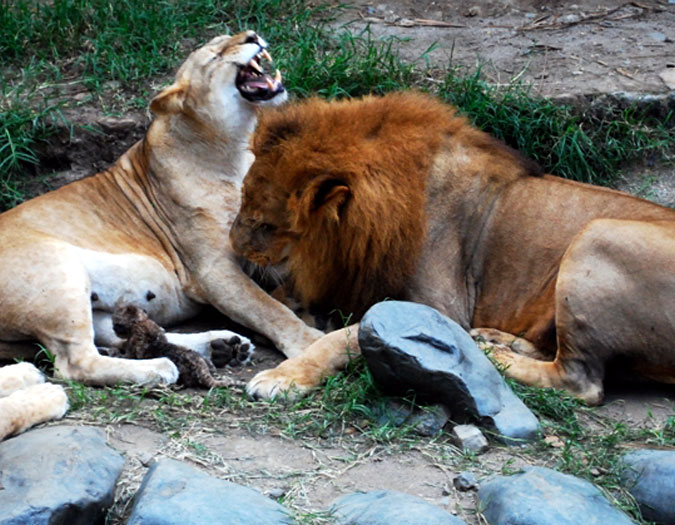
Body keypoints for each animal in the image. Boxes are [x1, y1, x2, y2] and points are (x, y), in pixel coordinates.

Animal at [0, 31, 322, 434]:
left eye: (233, 34)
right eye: (217, 52)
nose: (252, 36)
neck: (233, 149)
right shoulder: (213, 271)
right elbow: (267, 308)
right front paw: (311, 343)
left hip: (93, 301)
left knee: (125, 336)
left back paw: (223, 345)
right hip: (59, 273)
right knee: (76, 363)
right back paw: (161, 369)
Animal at [231, 90, 675, 404]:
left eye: (267, 224)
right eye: (242, 200)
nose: (233, 248)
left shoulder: (438, 308)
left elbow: (341, 338)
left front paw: (285, 375)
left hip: (598, 234)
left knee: (580, 381)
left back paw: (491, 355)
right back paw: (498, 340)